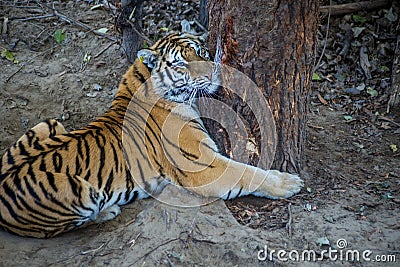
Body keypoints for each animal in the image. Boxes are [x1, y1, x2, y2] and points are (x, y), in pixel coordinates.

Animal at [0, 29, 304, 239]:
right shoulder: (201, 164)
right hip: (82, 191)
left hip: (49, 124)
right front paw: (288, 182)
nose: (213, 73)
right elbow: (246, 171)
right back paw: (107, 211)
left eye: (201, 52)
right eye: (181, 64)